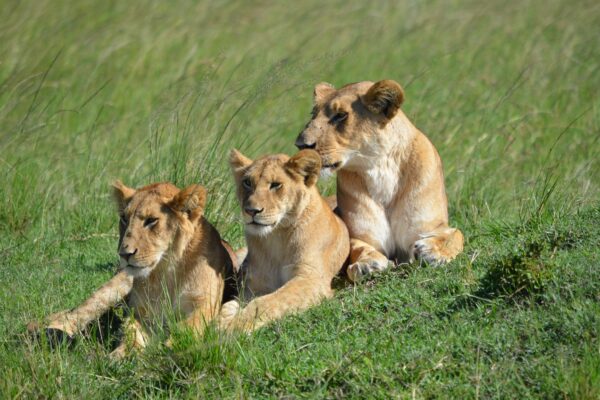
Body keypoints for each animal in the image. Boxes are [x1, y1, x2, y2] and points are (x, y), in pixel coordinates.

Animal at [27, 181, 234, 360]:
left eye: (151, 220)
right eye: (124, 219)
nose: (124, 254)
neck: (167, 270)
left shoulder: (204, 306)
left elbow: (188, 328)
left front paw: (169, 348)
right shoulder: (141, 313)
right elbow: (130, 332)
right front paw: (123, 354)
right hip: (116, 286)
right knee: (73, 316)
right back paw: (53, 335)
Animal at [216, 148, 350, 332]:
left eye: (275, 185)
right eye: (247, 183)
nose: (251, 211)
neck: (277, 236)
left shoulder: (311, 278)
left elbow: (267, 302)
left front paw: (234, 327)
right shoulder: (255, 283)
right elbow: (232, 303)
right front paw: (221, 320)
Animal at [296, 79, 464, 282]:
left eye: (341, 115)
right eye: (313, 115)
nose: (300, 145)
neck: (381, 167)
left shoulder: (432, 226)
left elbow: (456, 234)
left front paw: (433, 251)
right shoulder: (363, 237)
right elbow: (357, 247)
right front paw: (367, 265)